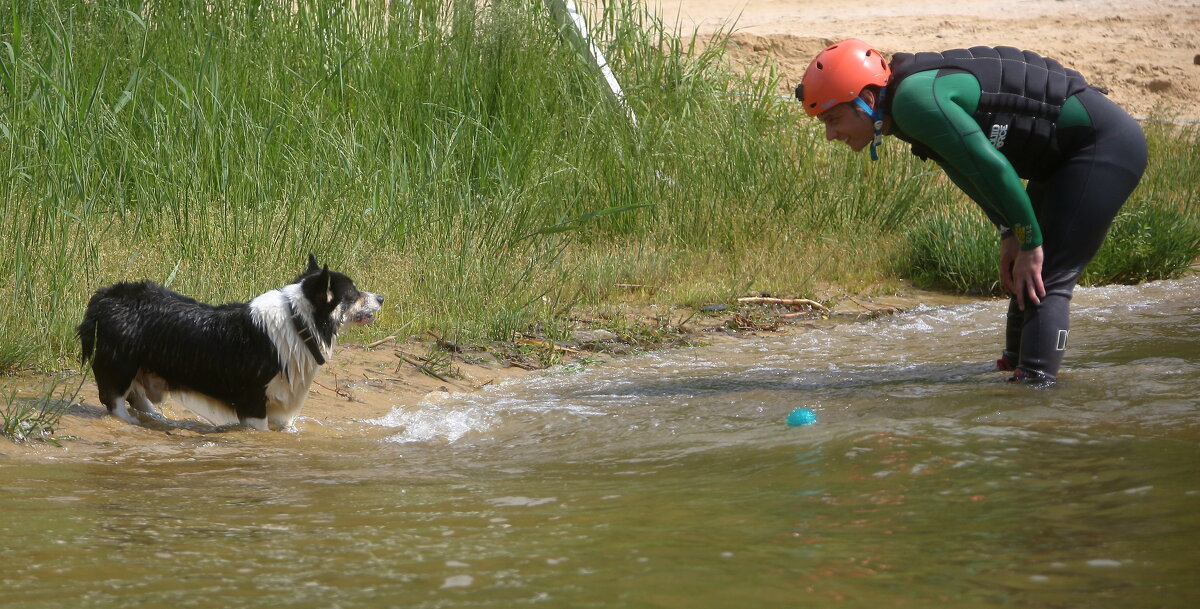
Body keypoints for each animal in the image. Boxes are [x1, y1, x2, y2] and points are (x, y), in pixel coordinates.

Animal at [77, 254, 384, 431]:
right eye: (353, 294)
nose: (381, 297)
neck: (299, 323)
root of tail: (104, 297)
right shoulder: (253, 400)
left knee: (138, 397)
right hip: (120, 365)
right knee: (114, 400)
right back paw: (129, 422)